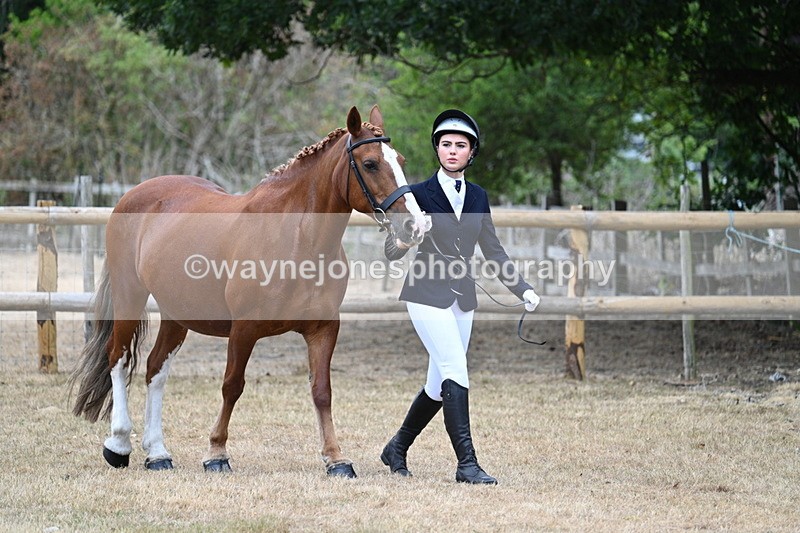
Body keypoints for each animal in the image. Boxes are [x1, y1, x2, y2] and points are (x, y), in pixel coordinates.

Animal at [69, 105, 429, 477]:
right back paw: (118, 444)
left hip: (176, 313)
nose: (415, 225)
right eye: (370, 163)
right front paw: (216, 453)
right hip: (130, 295)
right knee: (117, 359)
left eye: (400, 160)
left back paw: (157, 454)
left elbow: (322, 391)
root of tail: (132, 195)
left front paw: (336, 459)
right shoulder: (243, 330)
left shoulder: (324, 328)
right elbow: (232, 386)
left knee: (156, 369)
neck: (296, 238)